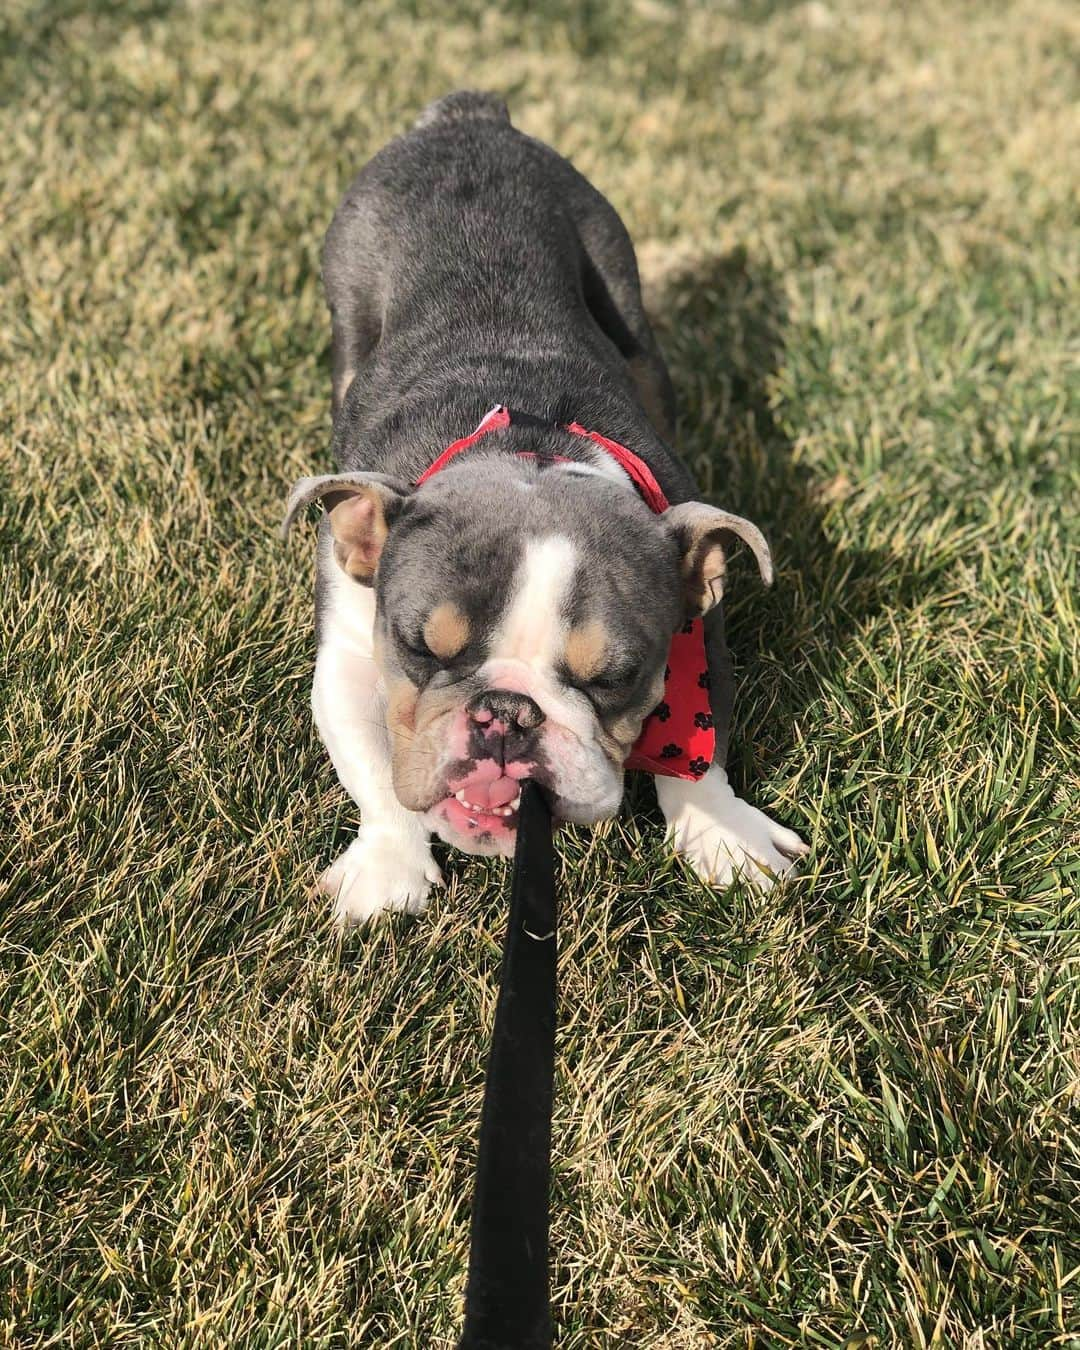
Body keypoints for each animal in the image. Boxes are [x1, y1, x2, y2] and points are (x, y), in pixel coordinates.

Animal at [282, 89, 804, 923]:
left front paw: (723, 835)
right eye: (423, 650)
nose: (505, 714)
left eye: (614, 676)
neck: (530, 444)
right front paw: (389, 869)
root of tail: (468, 120)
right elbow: (373, 761)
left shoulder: (702, 639)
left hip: (620, 287)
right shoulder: (349, 654)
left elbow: (699, 747)